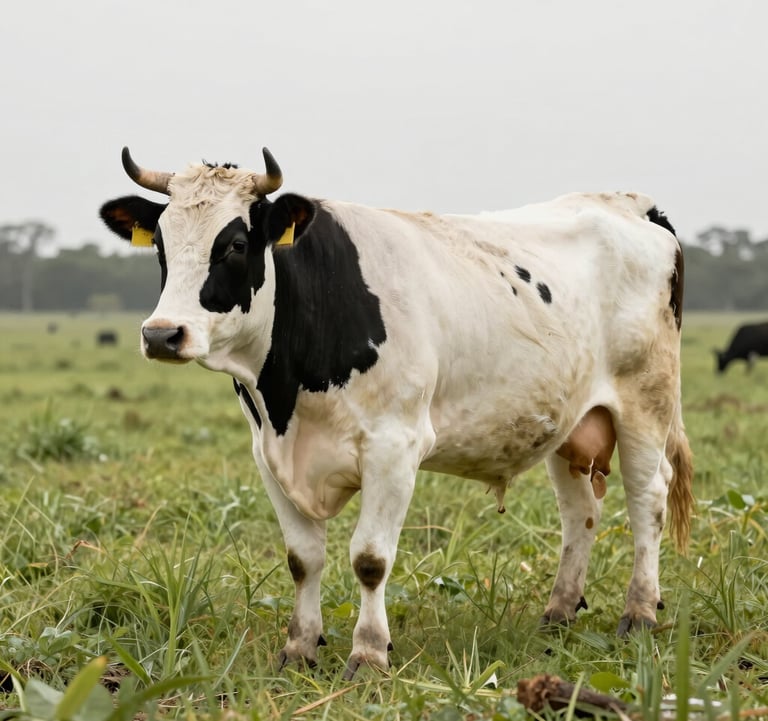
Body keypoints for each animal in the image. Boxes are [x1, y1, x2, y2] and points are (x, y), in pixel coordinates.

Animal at [100, 147, 694, 679]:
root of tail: (629, 203)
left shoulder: (395, 447)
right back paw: (558, 612)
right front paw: (299, 649)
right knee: (580, 512)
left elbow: (369, 559)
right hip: (569, 421)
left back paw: (640, 613)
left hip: (645, 401)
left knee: (647, 498)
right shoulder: (267, 453)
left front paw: (368, 655)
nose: (162, 334)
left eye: (236, 243)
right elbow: (302, 558)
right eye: (160, 243)